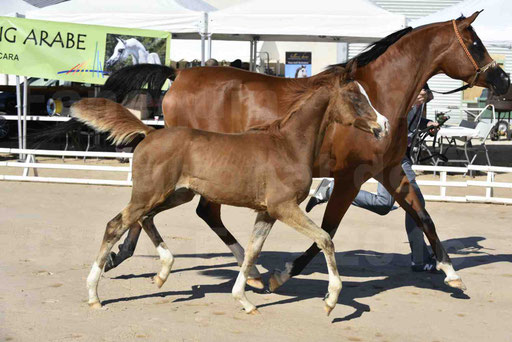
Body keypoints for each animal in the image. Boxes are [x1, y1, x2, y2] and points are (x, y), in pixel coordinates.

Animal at [83, 75, 384, 316]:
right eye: (356, 97)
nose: (383, 125)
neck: (289, 145)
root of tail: (149, 133)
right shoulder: (284, 207)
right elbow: (325, 239)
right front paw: (331, 300)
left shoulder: (266, 212)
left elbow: (252, 251)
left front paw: (245, 299)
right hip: (149, 194)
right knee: (115, 225)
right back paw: (94, 295)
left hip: (176, 195)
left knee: (145, 219)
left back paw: (162, 274)